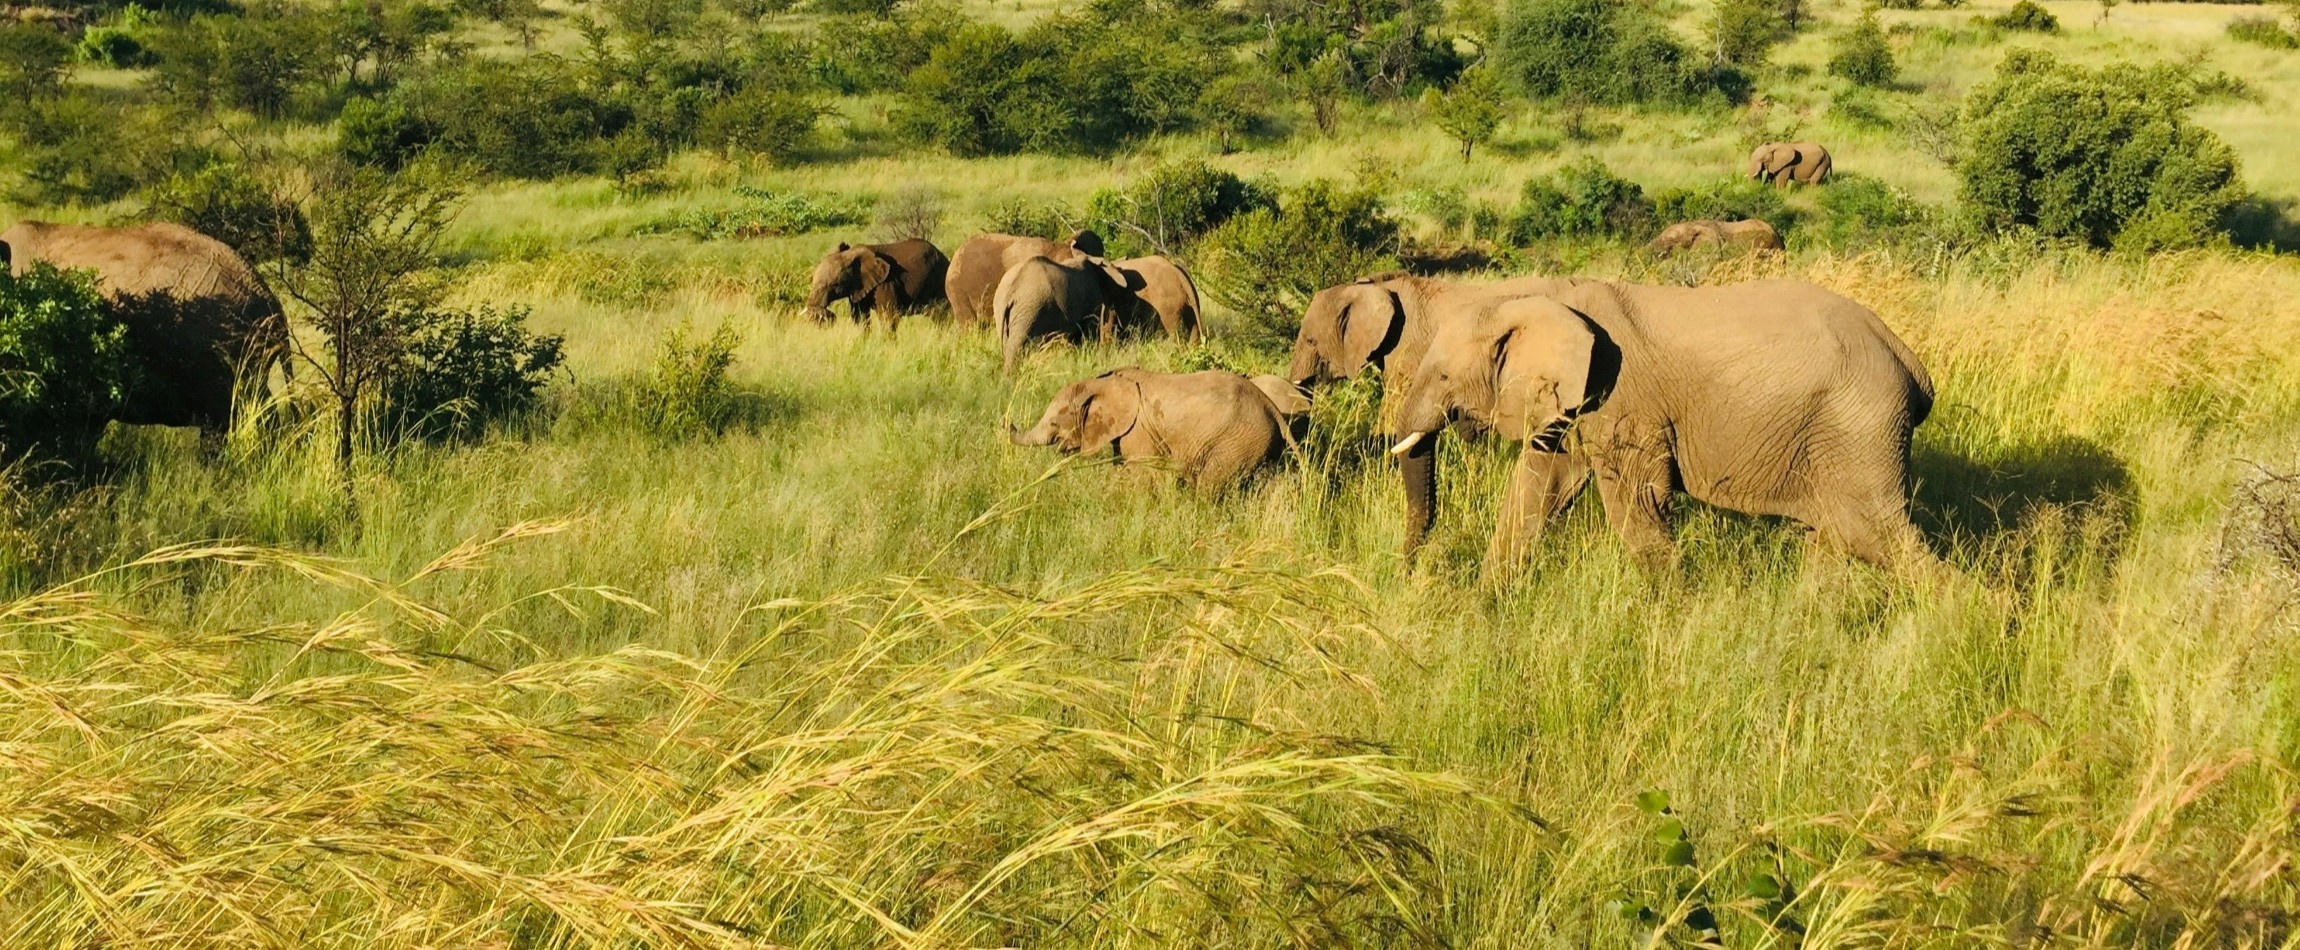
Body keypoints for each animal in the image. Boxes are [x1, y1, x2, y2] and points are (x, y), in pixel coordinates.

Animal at [803, 238, 949, 330]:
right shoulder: (858, 288)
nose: (830, 316)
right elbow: (860, 318)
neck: (850, 254)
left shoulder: (886, 283)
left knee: (943, 316)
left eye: (834, 284)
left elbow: (888, 317)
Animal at [993, 254, 1137, 374]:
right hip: (1030, 308)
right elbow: (1089, 333)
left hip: (1003, 309)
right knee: (1016, 345)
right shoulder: (1091, 297)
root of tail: (1012, 289)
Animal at [1010, 367, 1309, 494]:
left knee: (1211, 485)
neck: (1100, 383)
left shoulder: (1138, 431)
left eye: (1054, 424)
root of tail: (1269, 406)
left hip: (1237, 441)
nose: (1010, 425)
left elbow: (1143, 475)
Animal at [1387, 279, 1935, 571]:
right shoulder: (1573, 407)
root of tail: (1909, 360)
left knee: (1880, 536)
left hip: (1860, 425)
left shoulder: (1622, 403)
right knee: (1833, 537)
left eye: (1442, 376)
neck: (1539, 295)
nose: (1411, 570)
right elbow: (1538, 489)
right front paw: (1486, 604)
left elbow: (1639, 502)